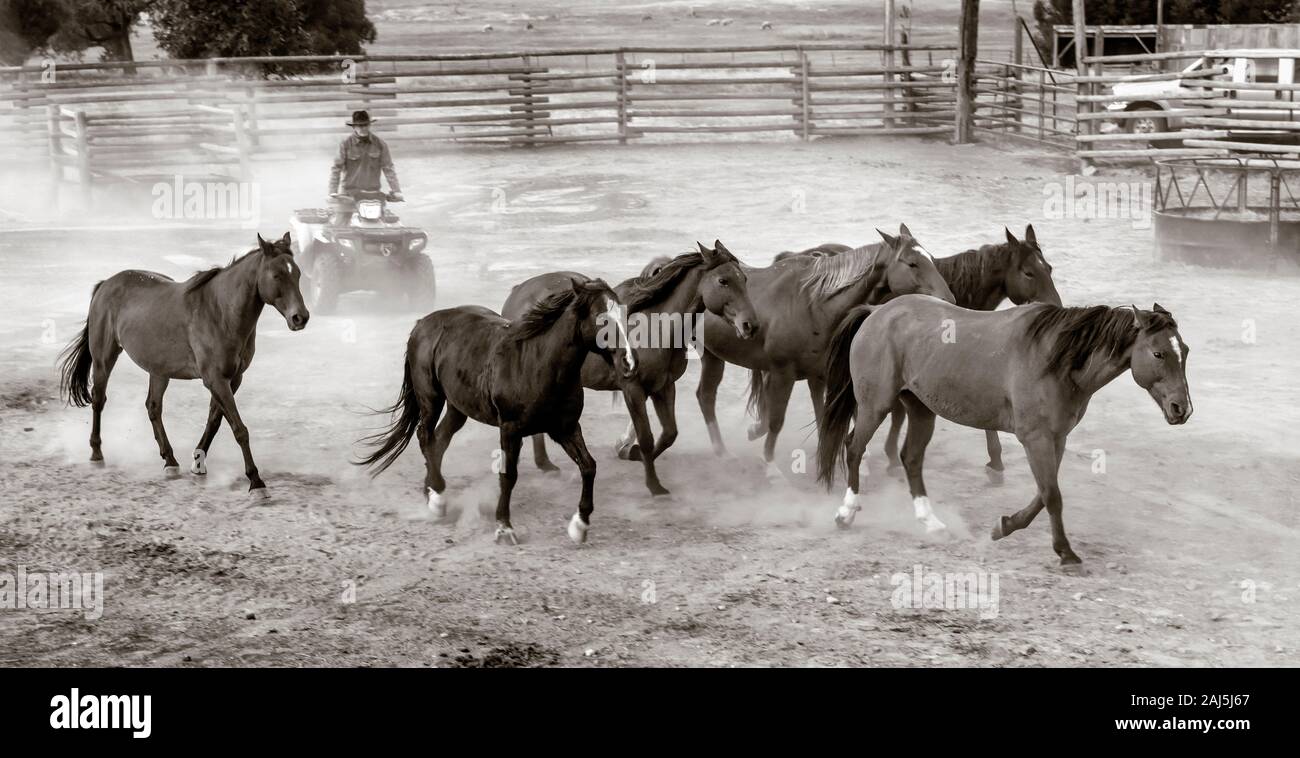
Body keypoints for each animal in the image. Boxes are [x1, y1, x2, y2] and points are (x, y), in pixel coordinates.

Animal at [61, 235, 314, 499]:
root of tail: (105, 284)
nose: (300, 317)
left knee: (153, 407)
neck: (220, 311)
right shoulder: (215, 379)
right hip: (104, 358)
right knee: (99, 400)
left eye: (296, 274)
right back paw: (96, 454)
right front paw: (256, 481)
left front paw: (198, 463)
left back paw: (170, 461)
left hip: (159, 370)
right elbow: (239, 429)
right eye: (276, 275)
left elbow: (215, 421)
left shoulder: (232, 379)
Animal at [358, 278, 637, 546]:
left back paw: (431, 490)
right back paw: (437, 500)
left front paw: (579, 527)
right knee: (426, 437)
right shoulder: (510, 428)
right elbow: (508, 475)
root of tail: (421, 324)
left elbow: (588, 466)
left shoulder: (566, 428)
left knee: (440, 441)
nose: (629, 364)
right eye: (602, 318)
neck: (538, 363)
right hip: (430, 398)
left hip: (458, 407)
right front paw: (504, 528)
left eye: (624, 315)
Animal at [499, 240, 759, 494]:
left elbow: (669, 434)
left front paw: (631, 453)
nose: (751, 325)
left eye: (744, 280)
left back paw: (545, 463)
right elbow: (646, 437)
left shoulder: (664, 387)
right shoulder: (632, 388)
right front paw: (653, 484)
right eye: (723, 281)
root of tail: (518, 291)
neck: (656, 327)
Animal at [696, 222, 961, 478]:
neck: (812, 304)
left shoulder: (819, 375)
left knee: (705, 396)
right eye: (912, 263)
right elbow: (777, 419)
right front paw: (770, 465)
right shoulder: (783, 373)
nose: (949, 300)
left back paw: (721, 450)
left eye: (931, 259)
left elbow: (821, 413)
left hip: (712, 355)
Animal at [816, 296, 1190, 569]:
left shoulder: (1056, 438)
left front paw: (1005, 525)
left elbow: (1044, 492)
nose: (1181, 409)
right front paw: (1065, 551)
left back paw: (931, 522)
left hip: (921, 409)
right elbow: (1052, 495)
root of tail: (877, 312)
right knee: (854, 448)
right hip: (875, 405)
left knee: (911, 459)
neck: (1056, 361)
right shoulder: (1035, 438)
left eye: (1184, 351)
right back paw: (845, 513)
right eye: (1158, 353)